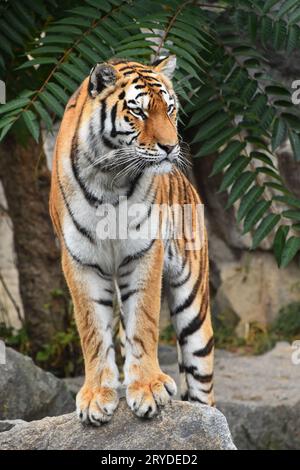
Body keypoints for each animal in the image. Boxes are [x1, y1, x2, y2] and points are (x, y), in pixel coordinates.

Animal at [49, 55, 214, 426]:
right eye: (138, 111)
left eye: (170, 109)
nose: (171, 147)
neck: (110, 177)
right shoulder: (80, 259)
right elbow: (92, 330)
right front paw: (96, 395)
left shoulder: (143, 252)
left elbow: (144, 320)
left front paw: (149, 388)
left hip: (194, 306)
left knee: (202, 385)